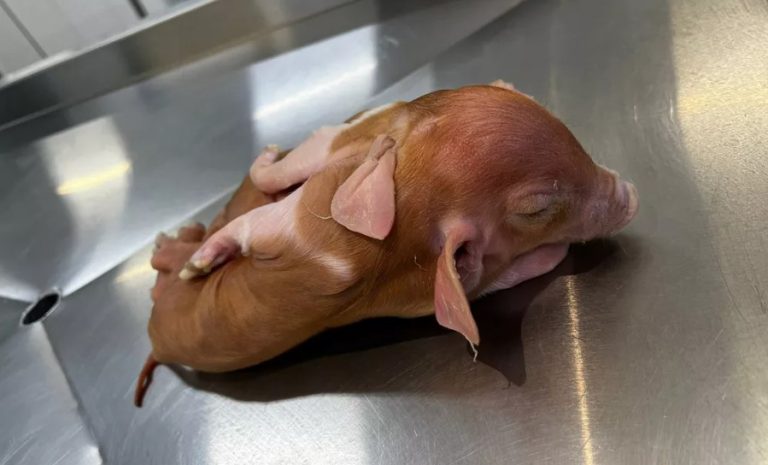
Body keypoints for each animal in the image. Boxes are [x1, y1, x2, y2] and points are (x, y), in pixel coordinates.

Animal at [135, 80, 638, 406]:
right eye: (536, 208)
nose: (631, 195)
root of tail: (158, 345)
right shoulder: (328, 168)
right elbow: (269, 192)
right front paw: (203, 262)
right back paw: (183, 246)